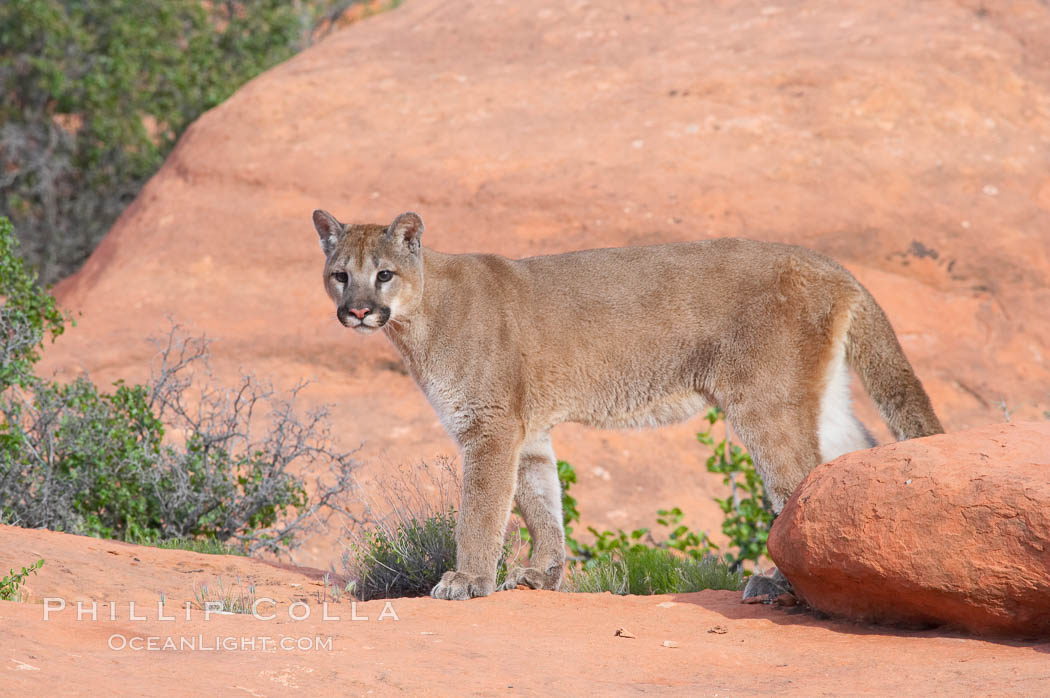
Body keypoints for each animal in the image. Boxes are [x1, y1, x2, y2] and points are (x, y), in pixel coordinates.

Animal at [310, 207, 944, 600]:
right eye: (340, 275)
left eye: (383, 275)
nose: (357, 310)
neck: (420, 318)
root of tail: (831, 264)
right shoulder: (526, 430)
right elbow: (541, 500)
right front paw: (543, 573)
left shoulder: (490, 428)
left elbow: (481, 510)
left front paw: (466, 580)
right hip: (818, 397)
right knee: (849, 458)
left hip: (765, 403)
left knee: (801, 478)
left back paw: (779, 586)